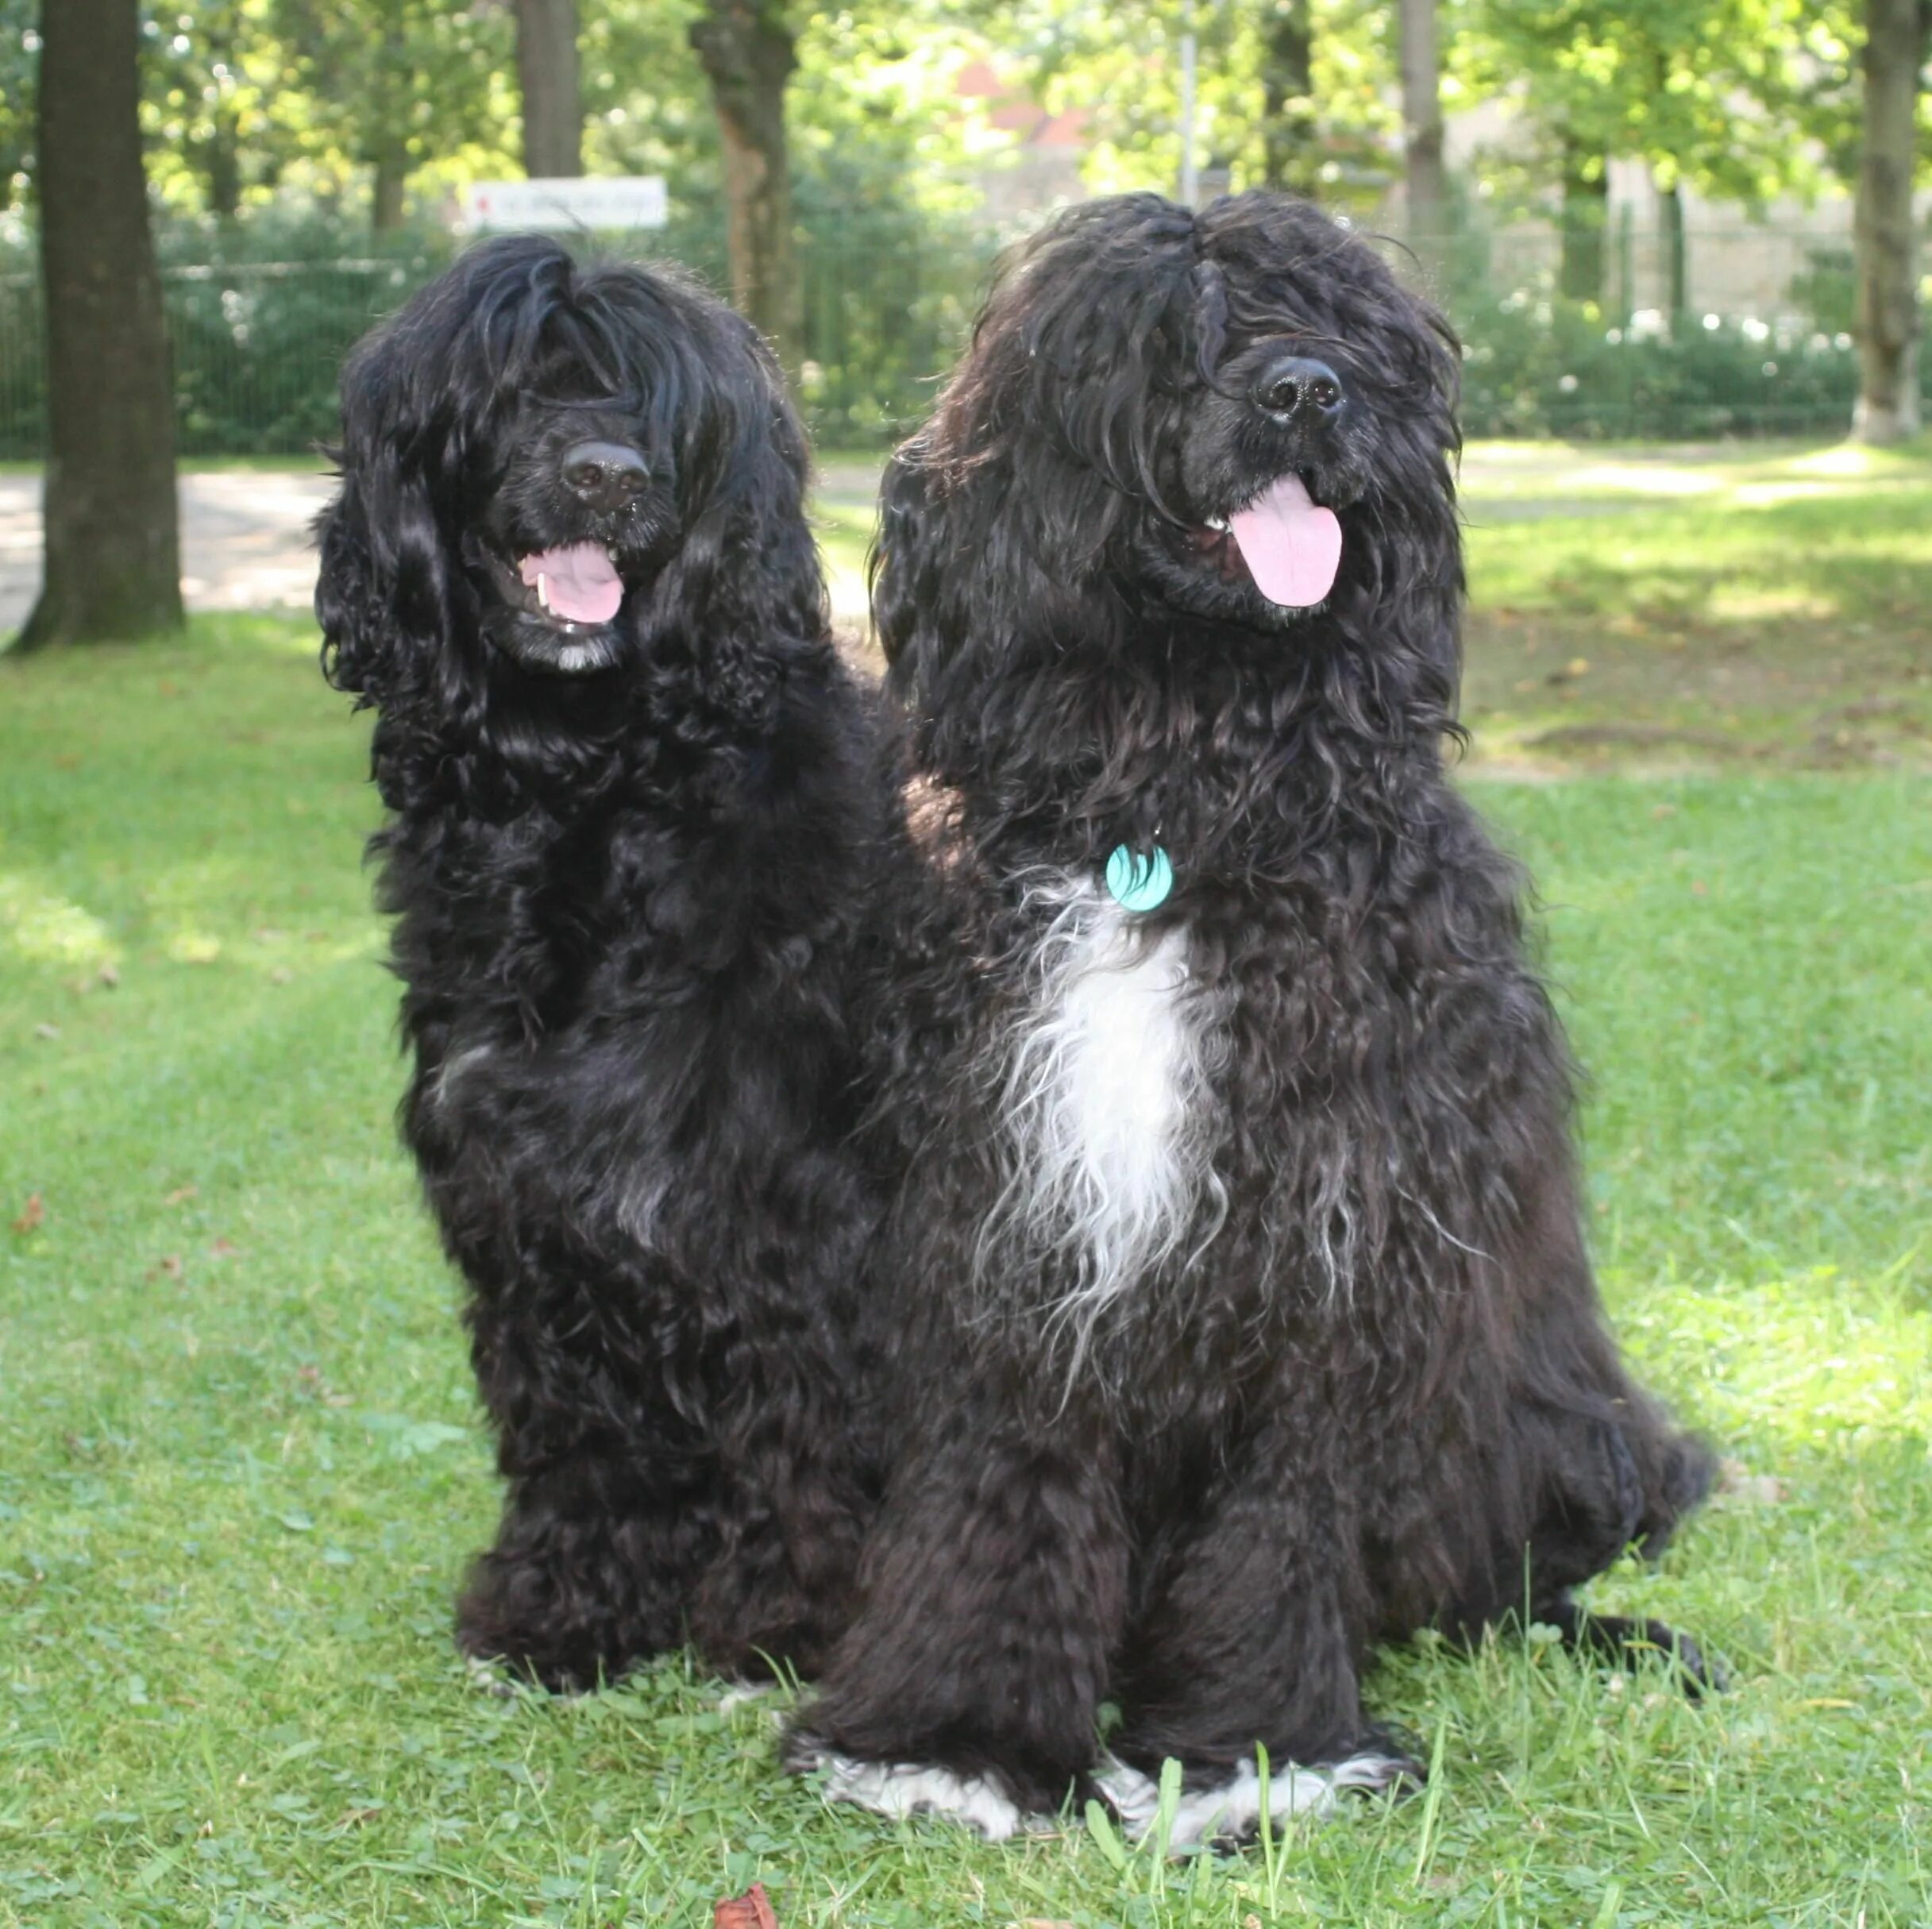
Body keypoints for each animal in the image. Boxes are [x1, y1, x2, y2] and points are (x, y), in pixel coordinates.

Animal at [318, 233, 885, 1700]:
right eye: (517, 386)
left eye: (656, 409)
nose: (606, 476)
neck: (592, 792)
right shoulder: (530, 1204)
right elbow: (580, 1430)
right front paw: (566, 1603)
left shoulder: (794, 1211)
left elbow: (807, 1426)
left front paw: (792, 1624)